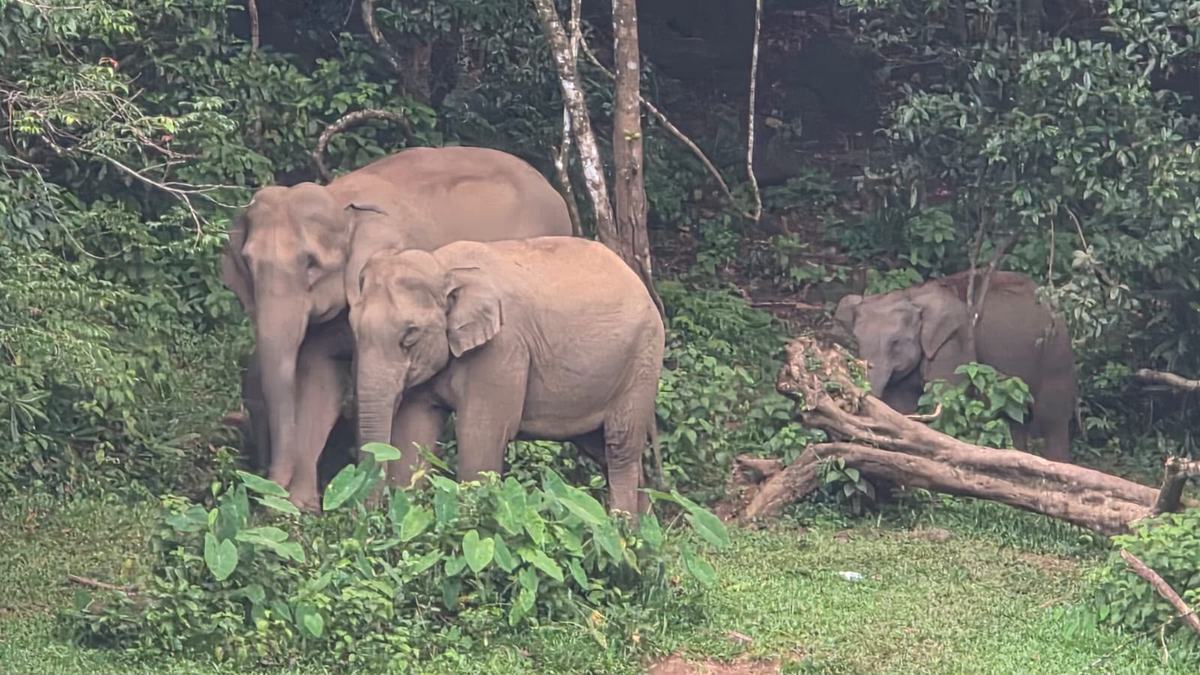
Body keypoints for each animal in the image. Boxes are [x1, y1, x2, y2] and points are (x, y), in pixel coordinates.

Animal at [220, 146, 573, 510]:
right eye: (248, 263)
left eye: (310, 264)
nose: (266, 491)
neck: (341, 202)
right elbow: (320, 381)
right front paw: (301, 509)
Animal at [348, 235, 665, 516]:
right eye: (353, 329)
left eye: (410, 336)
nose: (368, 517)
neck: (443, 267)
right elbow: (413, 433)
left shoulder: (502, 350)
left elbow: (480, 435)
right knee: (601, 448)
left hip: (642, 360)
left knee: (619, 447)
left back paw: (623, 530)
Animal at [834, 270, 1078, 462]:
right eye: (857, 341)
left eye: (895, 342)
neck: (912, 295)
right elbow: (900, 404)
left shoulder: (954, 343)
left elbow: (944, 400)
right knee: (1016, 419)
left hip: (1056, 354)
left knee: (1051, 418)